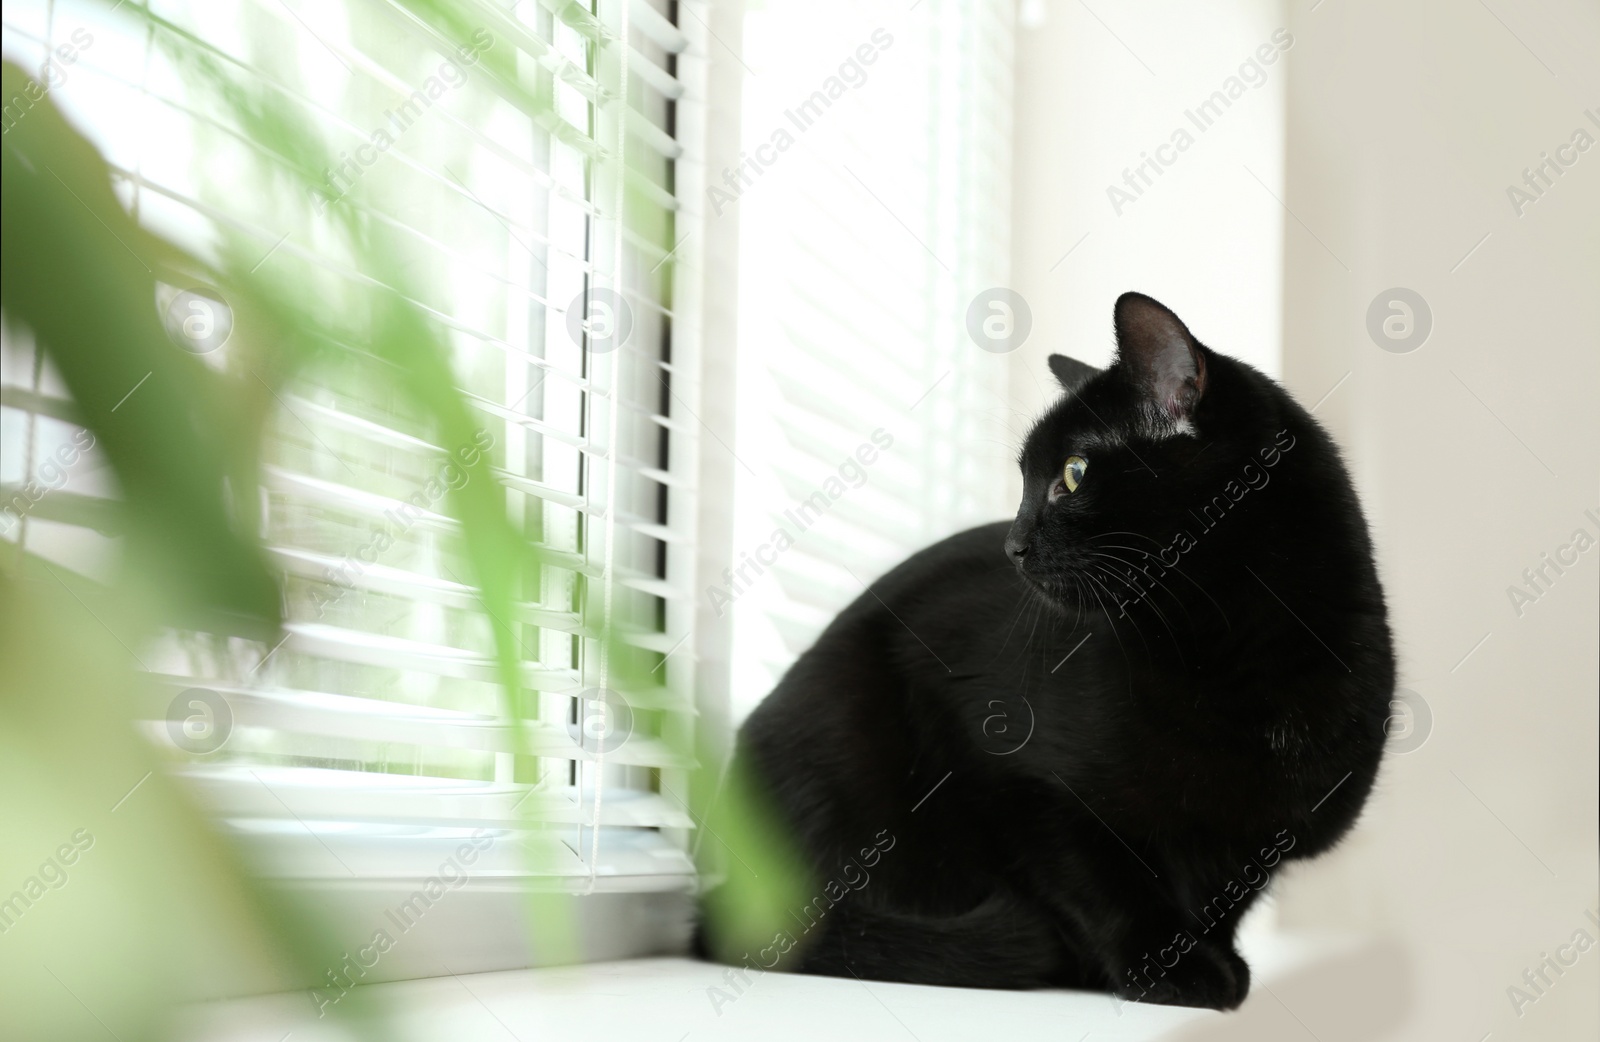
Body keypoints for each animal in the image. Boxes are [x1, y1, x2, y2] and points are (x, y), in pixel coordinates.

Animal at [697, 292, 1388, 1011]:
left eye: (1072, 476)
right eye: (1025, 479)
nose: (1013, 545)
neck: (1238, 651)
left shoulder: (1258, 839)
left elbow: (1223, 897)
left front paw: (1213, 961)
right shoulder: (1019, 785)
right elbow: (1106, 886)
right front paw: (1171, 968)